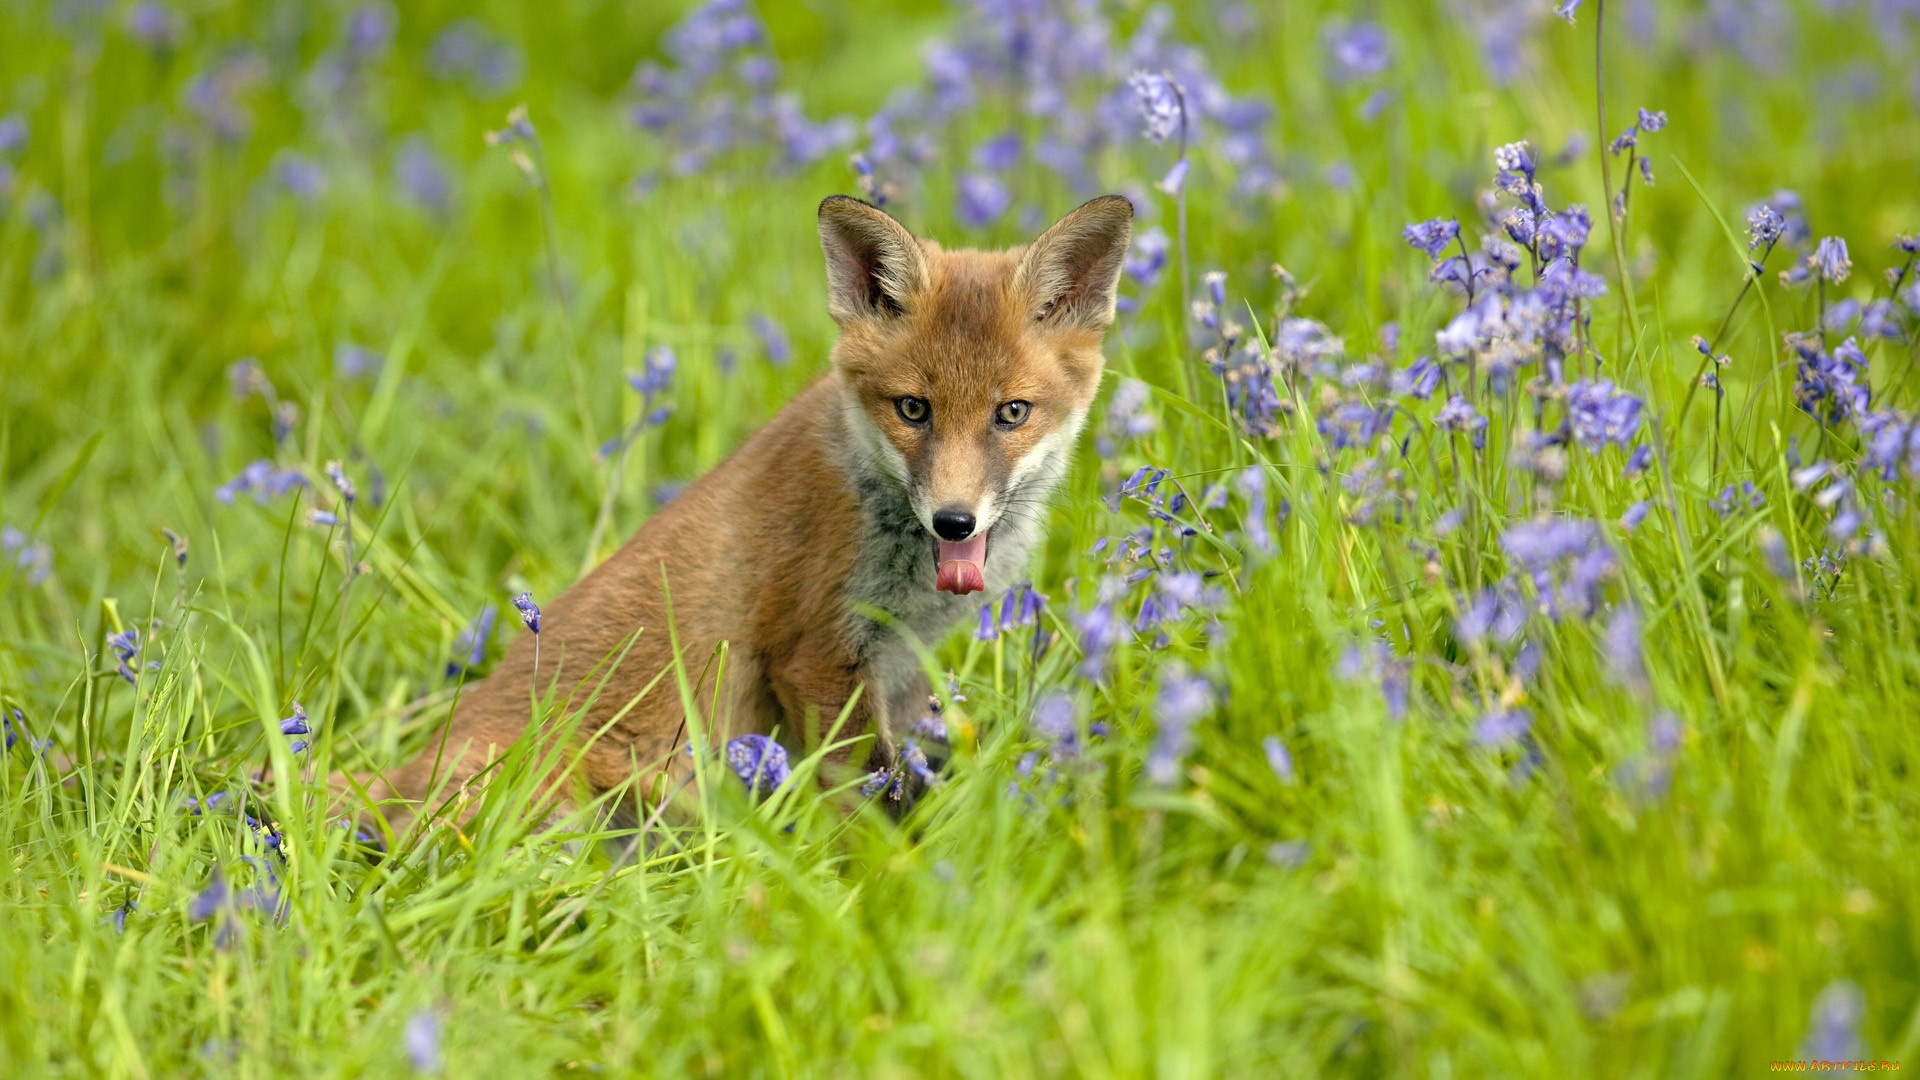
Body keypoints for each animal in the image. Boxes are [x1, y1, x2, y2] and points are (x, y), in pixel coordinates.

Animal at [355, 193, 1128, 834]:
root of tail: (396, 780)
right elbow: (869, 798)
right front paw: (882, 876)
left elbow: (905, 774)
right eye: (914, 409)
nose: (954, 522)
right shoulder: (815, 653)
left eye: (1012, 414)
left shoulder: (903, 669)